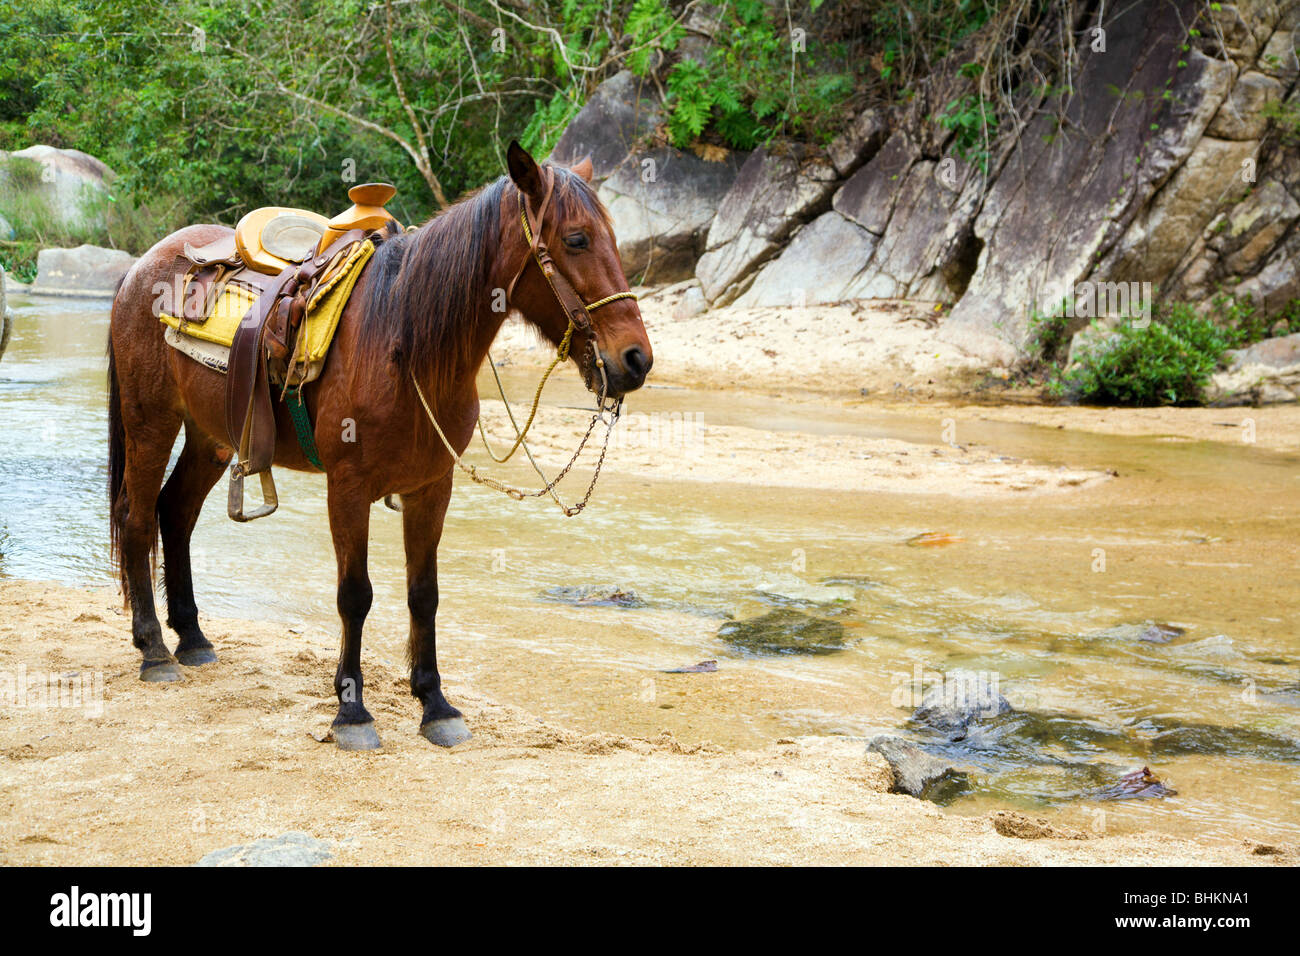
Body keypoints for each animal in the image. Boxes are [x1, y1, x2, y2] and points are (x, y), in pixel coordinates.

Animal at [104, 143, 650, 754]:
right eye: (576, 239)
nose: (636, 360)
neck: (404, 341)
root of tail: (142, 266)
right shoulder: (348, 488)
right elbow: (355, 595)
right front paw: (352, 712)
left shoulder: (432, 488)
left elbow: (423, 594)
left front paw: (435, 704)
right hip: (152, 423)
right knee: (137, 517)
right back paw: (154, 650)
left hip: (211, 437)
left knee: (175, 513)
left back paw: (193, 638)